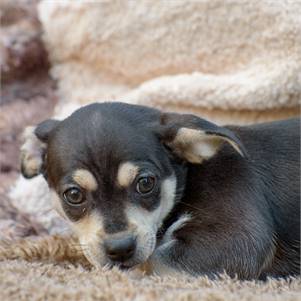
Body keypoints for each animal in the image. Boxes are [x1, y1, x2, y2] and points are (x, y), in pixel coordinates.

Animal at [19, 103, 298, 278]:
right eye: (74, 195)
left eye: (145, 183)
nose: (120, 248)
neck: (187, 180)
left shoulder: (239, 238)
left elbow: (153, 258)